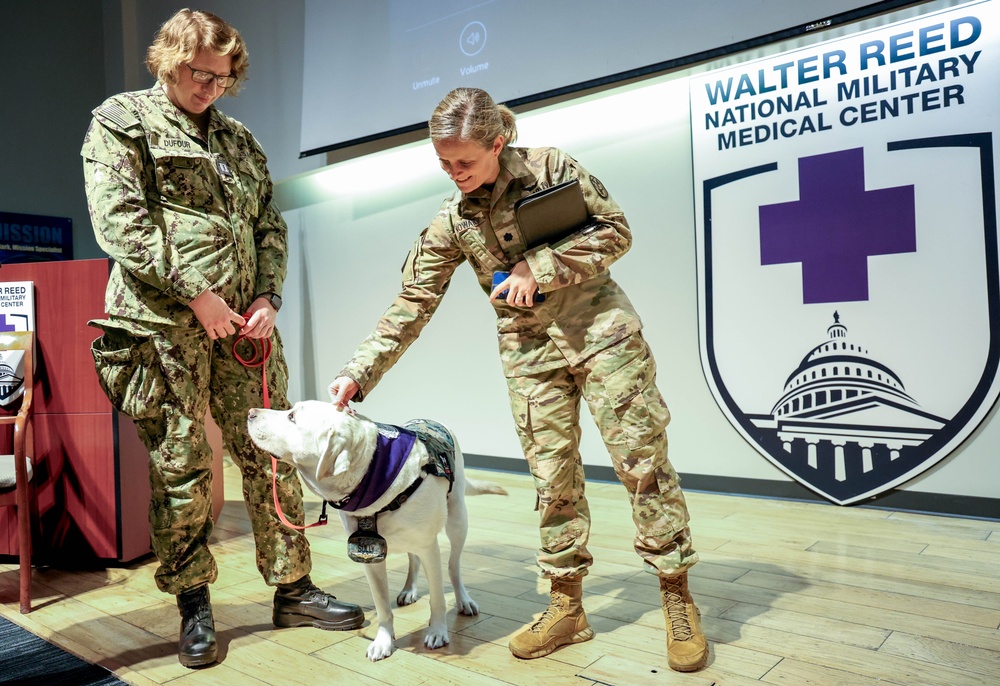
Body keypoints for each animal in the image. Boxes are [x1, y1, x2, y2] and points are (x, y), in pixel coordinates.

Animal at [246, 404, 504, 660]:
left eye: (292, 417)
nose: (250, 412)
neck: (371, 476)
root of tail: (432, 419)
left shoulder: (429, 547)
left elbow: (437, 598)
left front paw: (438, 631)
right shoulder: (369, 556)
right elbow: (382, 607)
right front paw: (383, 641)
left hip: (458, 520)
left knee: (453, 566)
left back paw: (463, 600)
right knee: (413, 559)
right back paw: (409, 589)